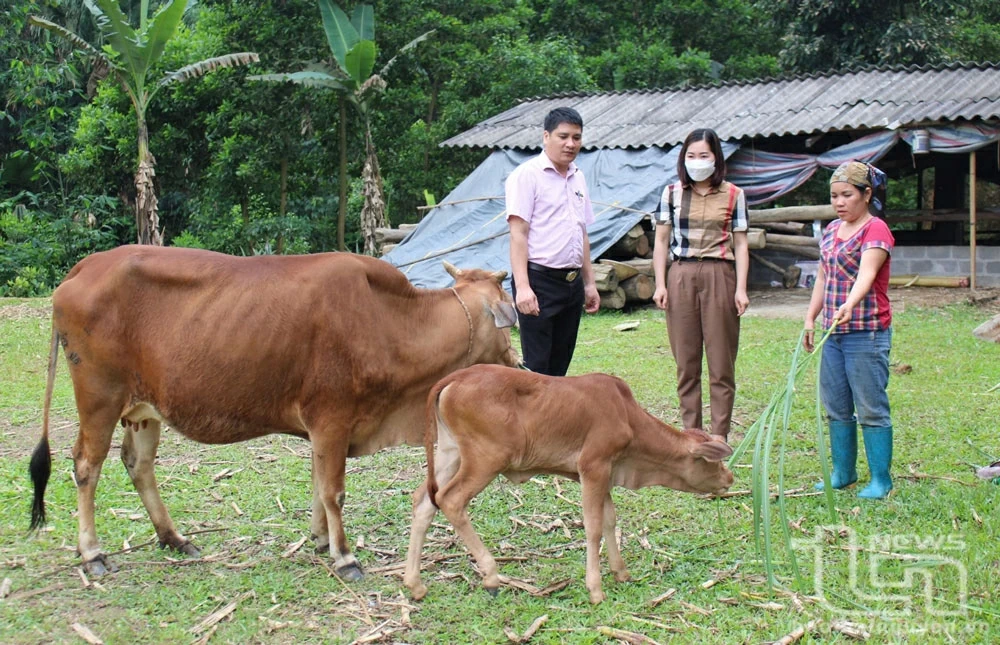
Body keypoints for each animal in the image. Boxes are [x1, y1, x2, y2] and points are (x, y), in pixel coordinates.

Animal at [27, 247, 520, 580]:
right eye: (509, 313)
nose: (516, 362)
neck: (391, 321)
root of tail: (87, 265)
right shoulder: (332, 418)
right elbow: (334, 491)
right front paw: (345, 556)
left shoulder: (325, 431)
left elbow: (319, 486)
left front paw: (321, 540)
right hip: (100, 397)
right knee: (86, 466)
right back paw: (93, 552)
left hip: (143, 408)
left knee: (138, 463)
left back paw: (174, 538)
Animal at [402, 364, 740, 600]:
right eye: (713, 461)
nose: (729, 477)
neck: (627, 417)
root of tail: (456, 377)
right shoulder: (593, 467)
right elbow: (593, 527)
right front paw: (596, 589)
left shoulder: (604, 473)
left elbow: (609, 520)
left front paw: (620, 571)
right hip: (485, 459)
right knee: (450, 500)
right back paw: (491, 575)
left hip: (450, 454)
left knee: (424, 501)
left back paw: (414, 583)